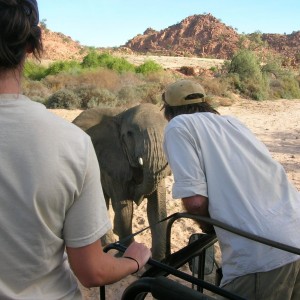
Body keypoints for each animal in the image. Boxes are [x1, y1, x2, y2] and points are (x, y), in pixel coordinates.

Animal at [72, 103, 170, 260]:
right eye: (129, 134)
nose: (138, 195)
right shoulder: (113, 165)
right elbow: (125, 209)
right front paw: (126, 253)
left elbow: (157, 208)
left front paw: (159, 260)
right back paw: (107, 245)